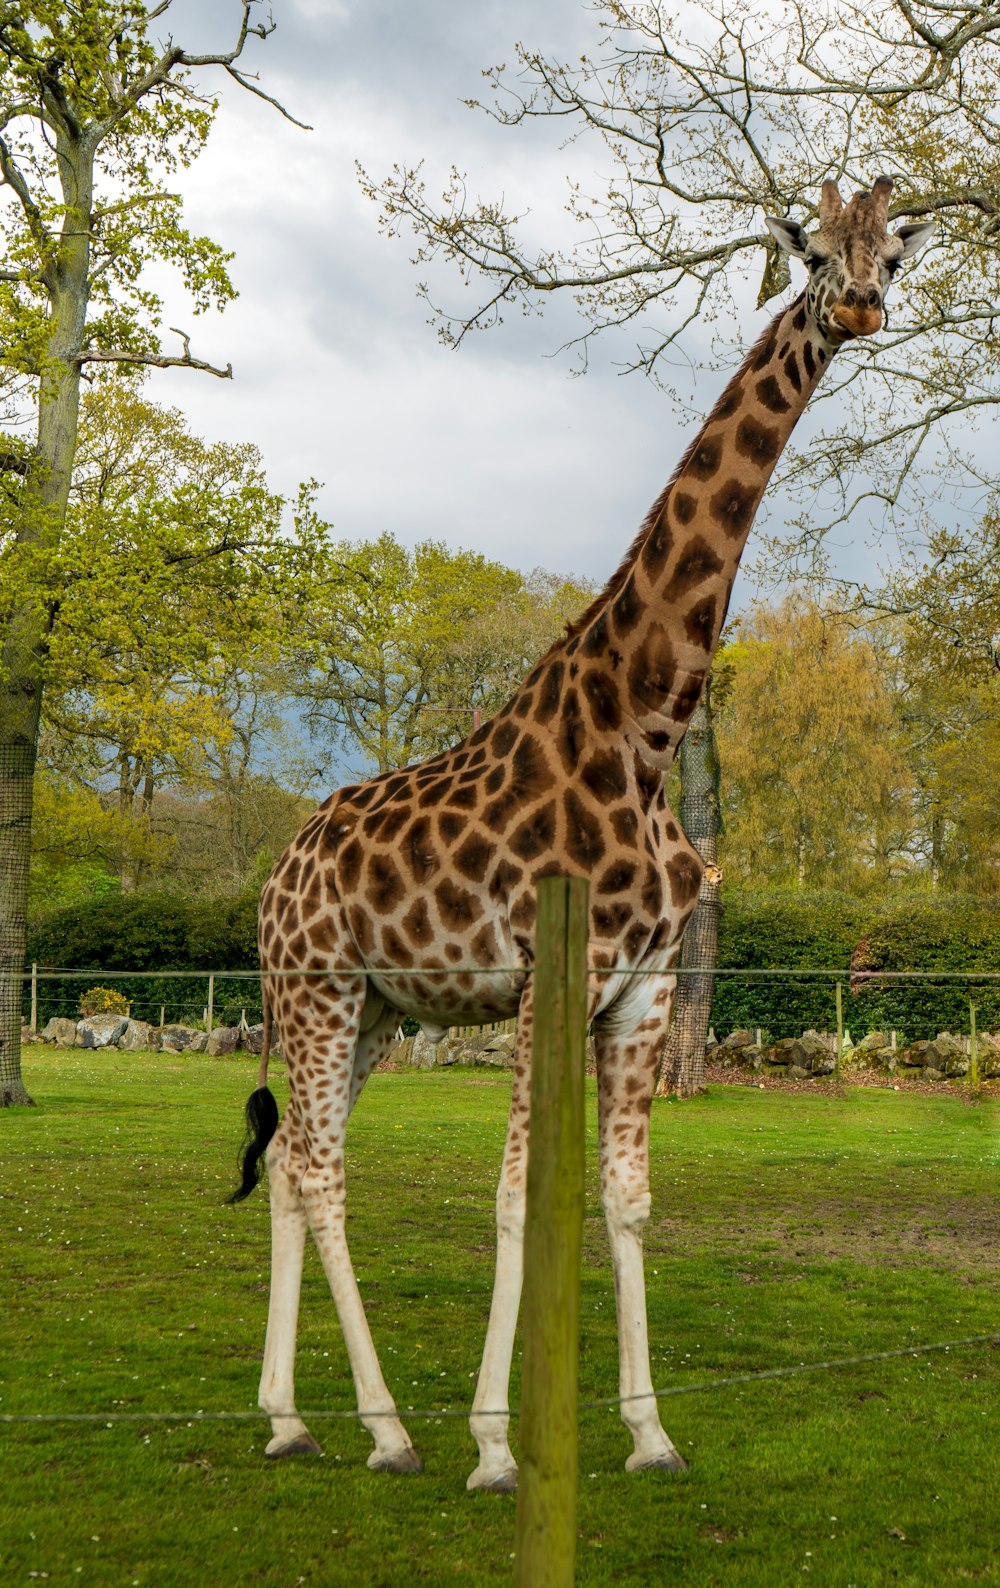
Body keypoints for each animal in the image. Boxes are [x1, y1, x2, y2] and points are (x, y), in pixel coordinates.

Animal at [231, 180, 939, 1492]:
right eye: (814, 251)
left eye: (892, 253)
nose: (862, 305)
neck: (644, 728)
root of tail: (273, 878)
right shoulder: (546, 977)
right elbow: (520, 1198)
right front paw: (497, 1446)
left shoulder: (645, 986)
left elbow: (624, 1197)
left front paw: (651, 1431)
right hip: (315, 991)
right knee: (319, 1169)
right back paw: (388, 1429)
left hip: (373, 1007)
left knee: (297, 1163)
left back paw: (289, 1416)